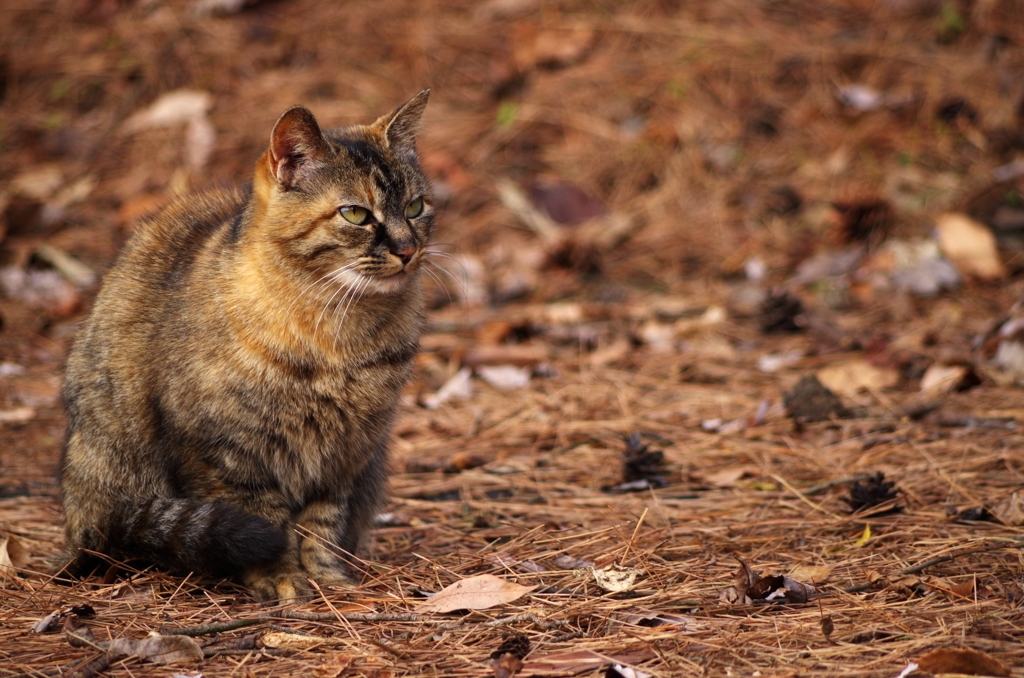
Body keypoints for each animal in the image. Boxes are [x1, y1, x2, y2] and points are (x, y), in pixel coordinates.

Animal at [58, 89, 436, 602]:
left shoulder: (345, 456)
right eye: (355, 213)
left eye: (416, 207)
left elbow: (321, 525)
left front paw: (326, 578)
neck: (340, 336)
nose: (407, 249)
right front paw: (282, 578)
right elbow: (266, 522)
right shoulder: (226, 454)